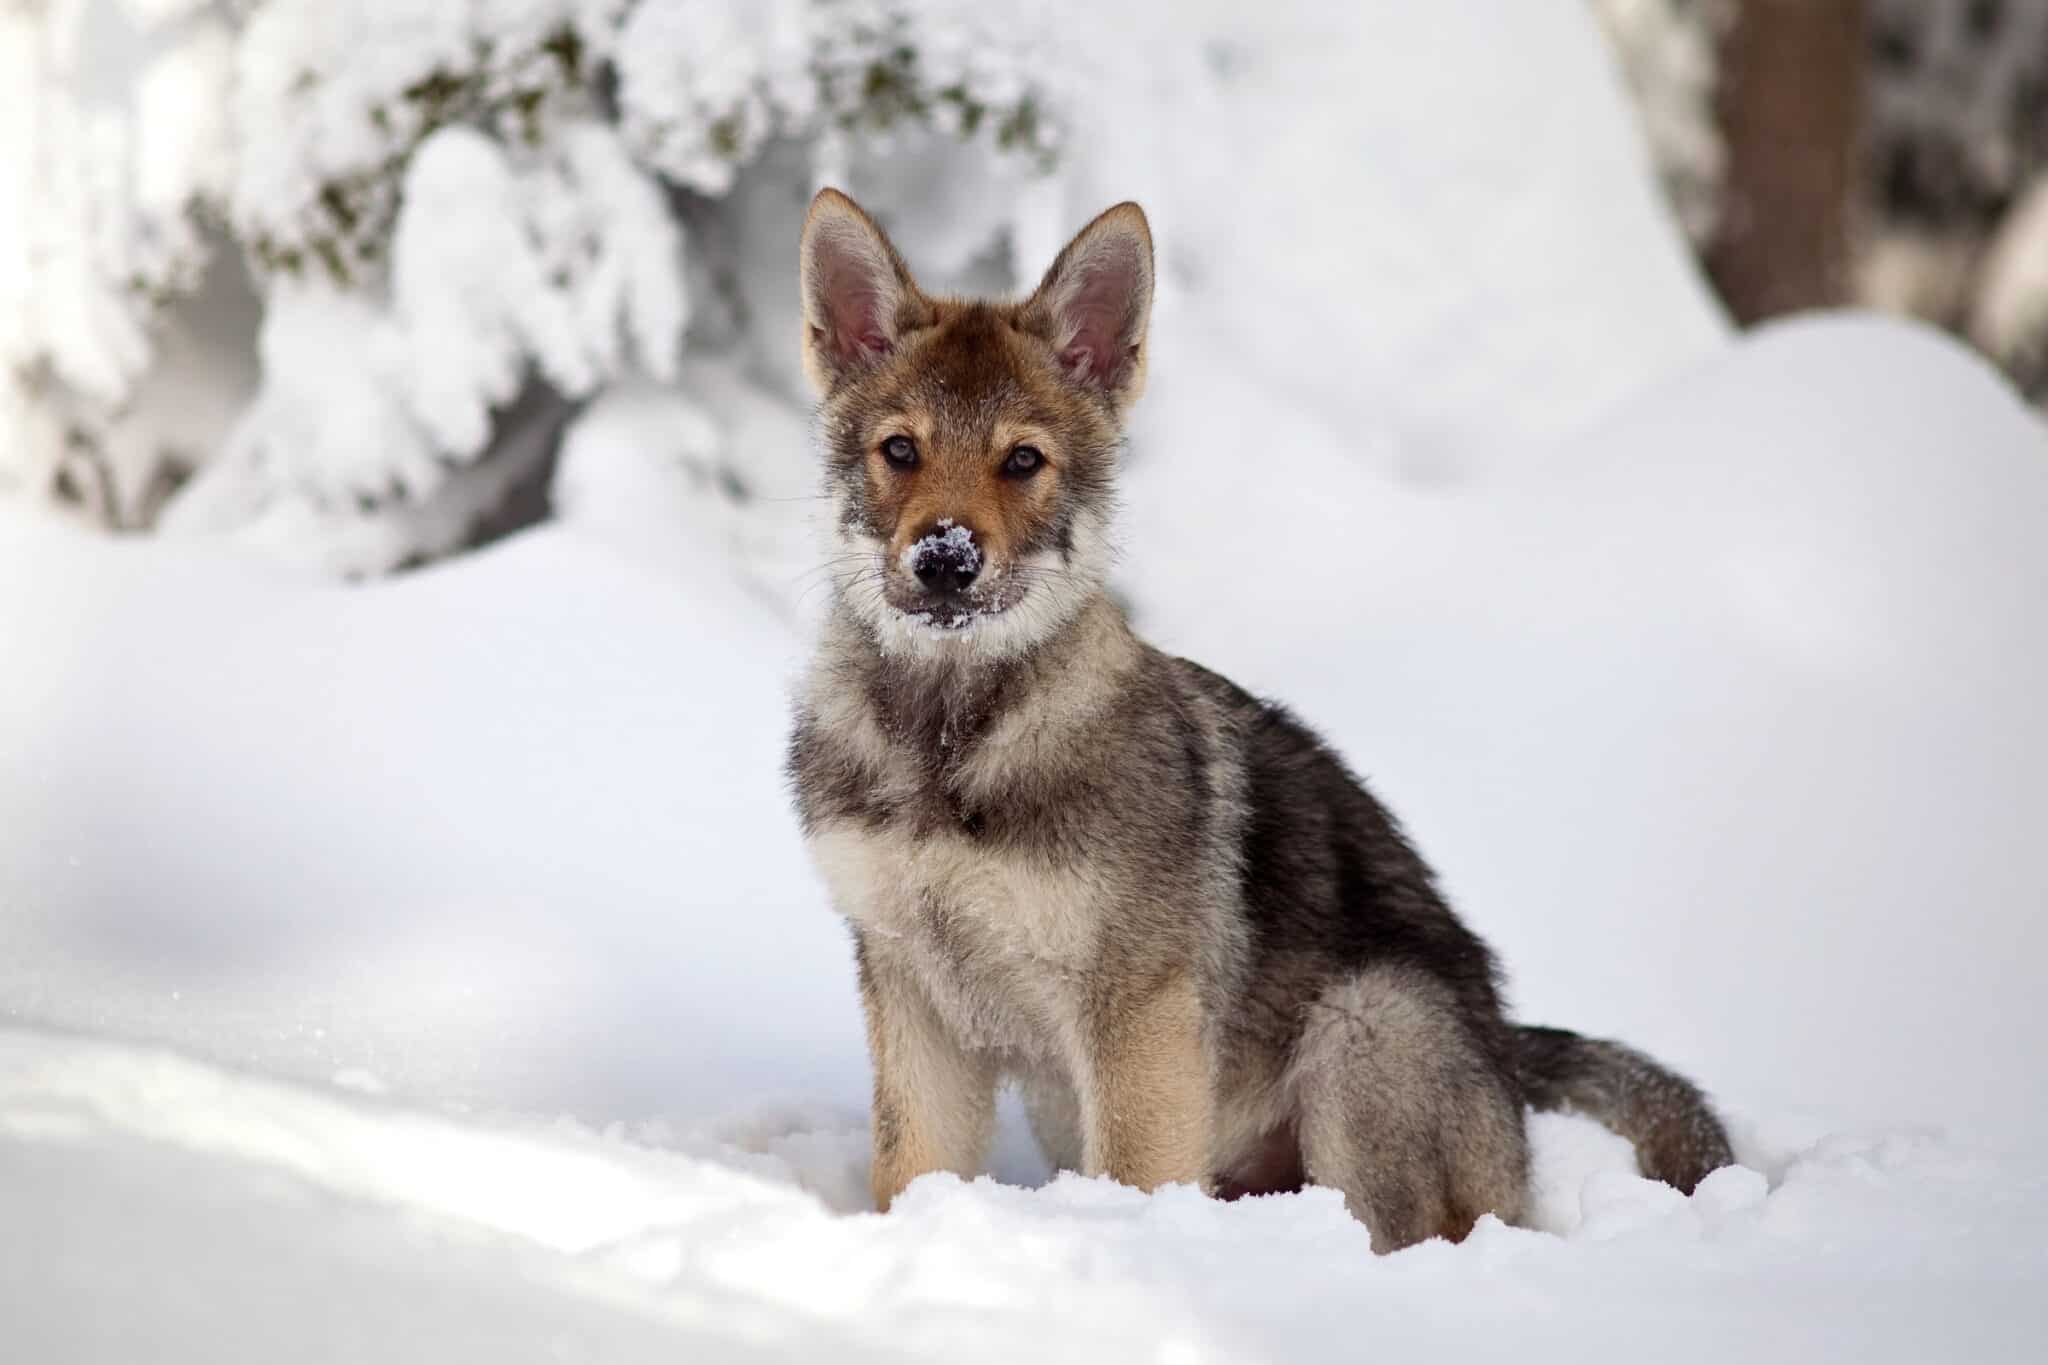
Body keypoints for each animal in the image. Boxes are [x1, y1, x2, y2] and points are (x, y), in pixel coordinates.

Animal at [785, 188, 1733, 1251]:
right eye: (900, 450)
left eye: (1022, 460)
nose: (945, 559)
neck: (951, 742)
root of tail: (1509, 1058)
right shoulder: (914, 1001)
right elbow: (909, 1174)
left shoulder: (1137, 1018)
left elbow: (1138, 1180)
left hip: (1362, 1029)